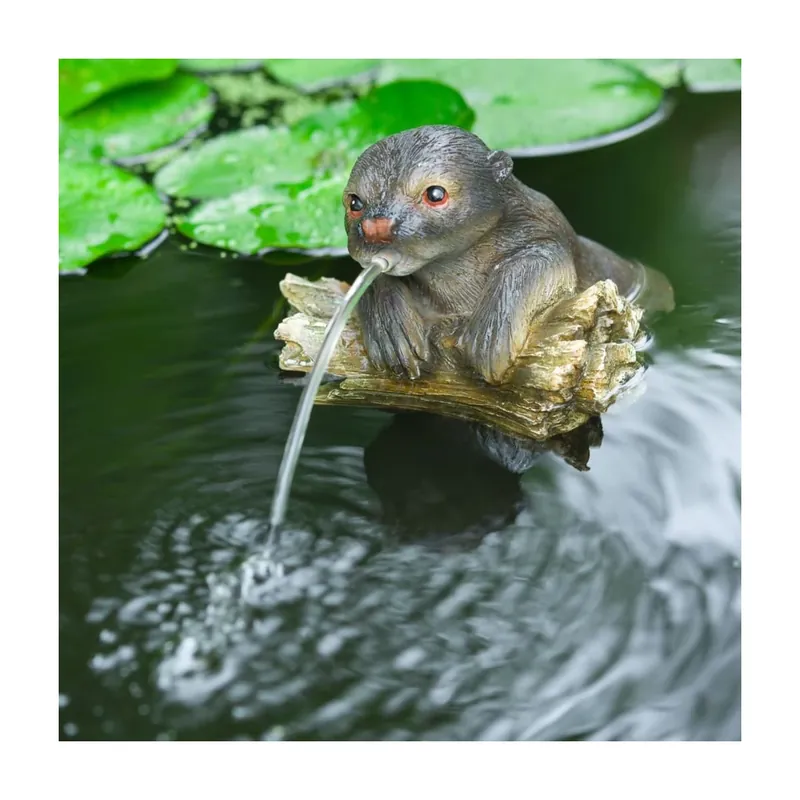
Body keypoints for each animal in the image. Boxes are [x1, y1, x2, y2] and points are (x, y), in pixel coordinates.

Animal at [342, 125, 646, 384]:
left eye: (435, 194)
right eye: (354, 202)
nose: (376, 227)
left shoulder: (549, 234)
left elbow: (537, 259)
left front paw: (491, 332)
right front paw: (389, 325)